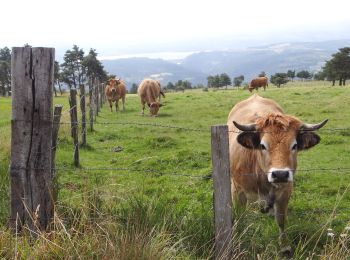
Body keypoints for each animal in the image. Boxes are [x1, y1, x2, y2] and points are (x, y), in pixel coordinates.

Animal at [227, 94, 328, 255]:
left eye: (294, 145)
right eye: (263, 145)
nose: (280, 174)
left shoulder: (285, 190)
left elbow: (281, 219)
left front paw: (285, 246)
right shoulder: (237, 190)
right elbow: (238, 217)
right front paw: (237, 241)